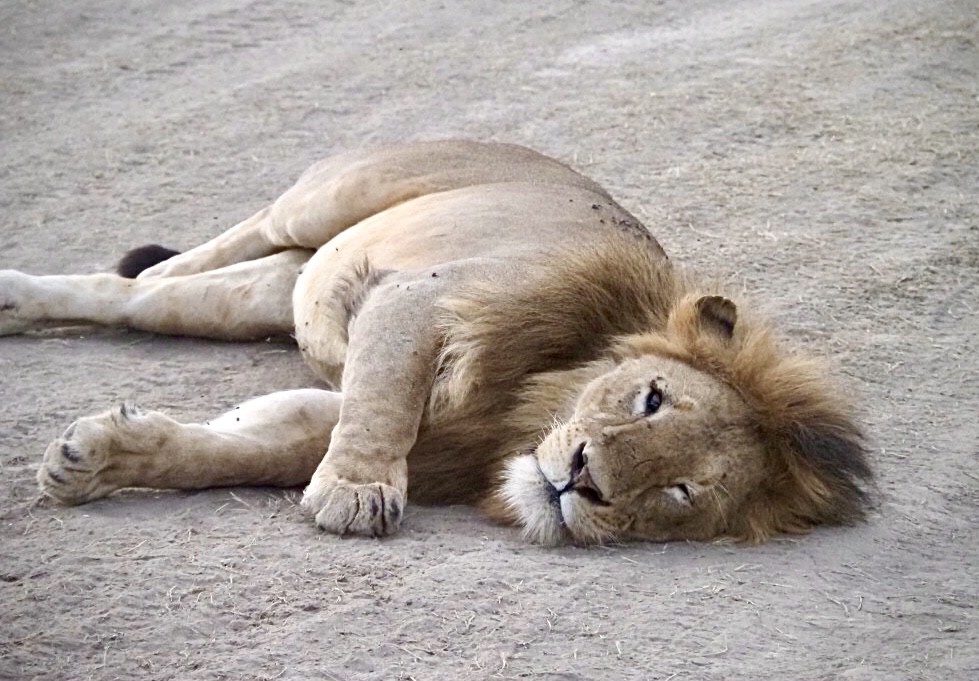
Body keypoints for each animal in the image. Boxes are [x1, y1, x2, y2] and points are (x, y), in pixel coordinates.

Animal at [0, 141, 872, 544]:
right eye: (650, 399)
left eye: (680, 492)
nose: (580, 478)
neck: (526, 407)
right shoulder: (424, 298)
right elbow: (381, 400)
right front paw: (355, 493)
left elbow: (228, 449)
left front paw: (94, 458)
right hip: (330, 198)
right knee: (181, 261)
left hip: (272, 288)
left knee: (140, 300)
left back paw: (17, 301)